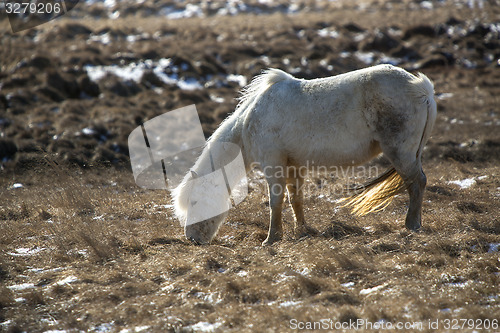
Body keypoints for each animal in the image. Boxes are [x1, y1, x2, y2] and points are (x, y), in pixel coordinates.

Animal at [173, 64, 438, 244]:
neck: (251, 121)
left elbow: (275, 201)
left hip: (401, 153)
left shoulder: (273, 165)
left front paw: (271, 239)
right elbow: (295, 200)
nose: (192, 238)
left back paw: (412, 225)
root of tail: (422, 88)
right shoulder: (294, 166)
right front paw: (301, 231)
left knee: (416, 183)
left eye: (194, 201)